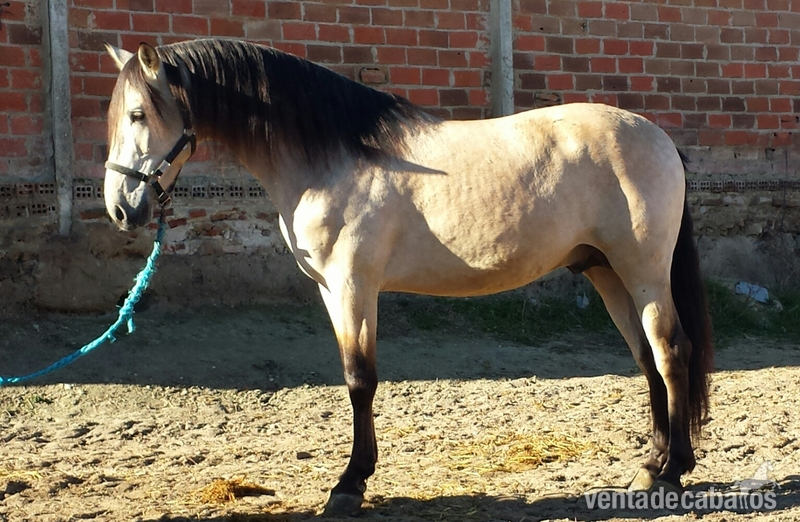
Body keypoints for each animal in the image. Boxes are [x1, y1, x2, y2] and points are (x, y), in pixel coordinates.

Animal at [102, 38, 713, 516]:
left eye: (137, 116)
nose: (121, 209)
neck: (331, 156)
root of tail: (658, 138)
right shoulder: (331, 291)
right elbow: (354, 376)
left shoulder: (354, 286)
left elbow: (360, 379)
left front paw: (349, 485)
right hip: (608, 273)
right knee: (647, 359)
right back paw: (651, 463)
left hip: (643, 272)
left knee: (671, 352)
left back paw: (670, 472)